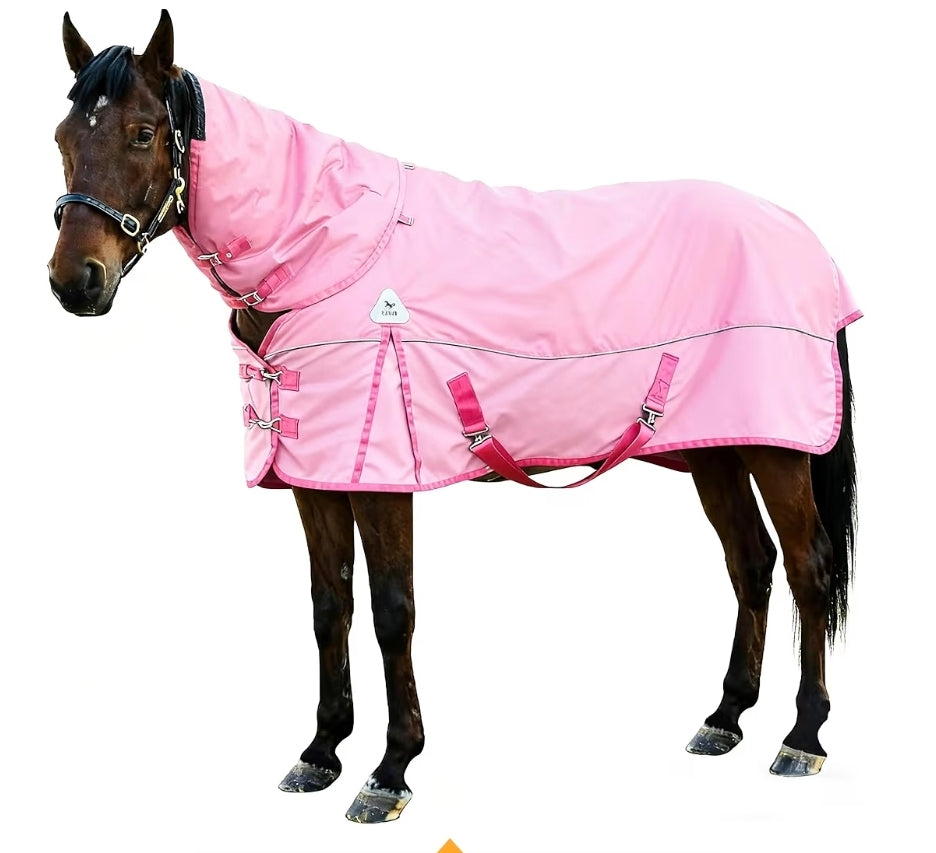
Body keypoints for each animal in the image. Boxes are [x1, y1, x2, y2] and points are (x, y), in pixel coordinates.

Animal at [48, 10, 859, 824]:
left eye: (143, 132)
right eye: (62, 138)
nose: (74, 281)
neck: (327, 253)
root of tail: (801, 237)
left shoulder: (382, 477)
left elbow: (391, 610)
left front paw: (390, 769)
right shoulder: (314, 475)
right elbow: (328, 605)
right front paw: (320, 752)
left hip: (777, 452)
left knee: (809, 566)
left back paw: (803, 736)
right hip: (718, 450)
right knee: (750, 562)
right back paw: (725, 719)